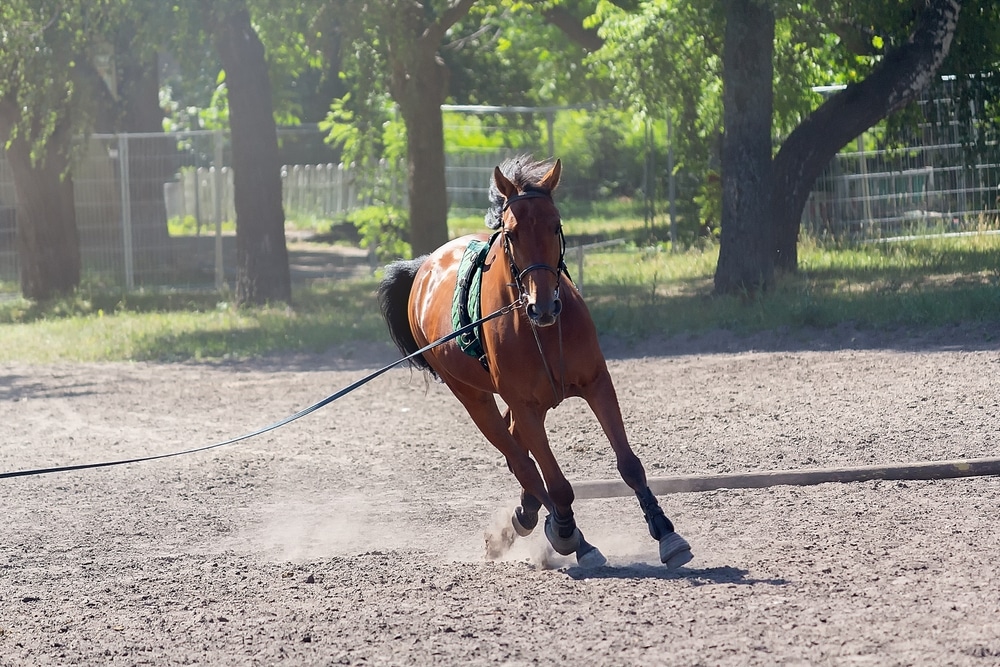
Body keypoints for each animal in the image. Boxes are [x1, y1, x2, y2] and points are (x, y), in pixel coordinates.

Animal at [376, 155, 688, 568]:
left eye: (555, 225)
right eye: (510, 234)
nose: (543, 307)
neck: (540, 328)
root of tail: (425, 267)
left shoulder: (597, 384)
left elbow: (629, 463)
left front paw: (666, 532)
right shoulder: (525, 406)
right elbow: (555, 483)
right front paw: (569, 534)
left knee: (518, 453)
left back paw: (527, 515)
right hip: (474, 397)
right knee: (520, 460)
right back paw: (563, 531)